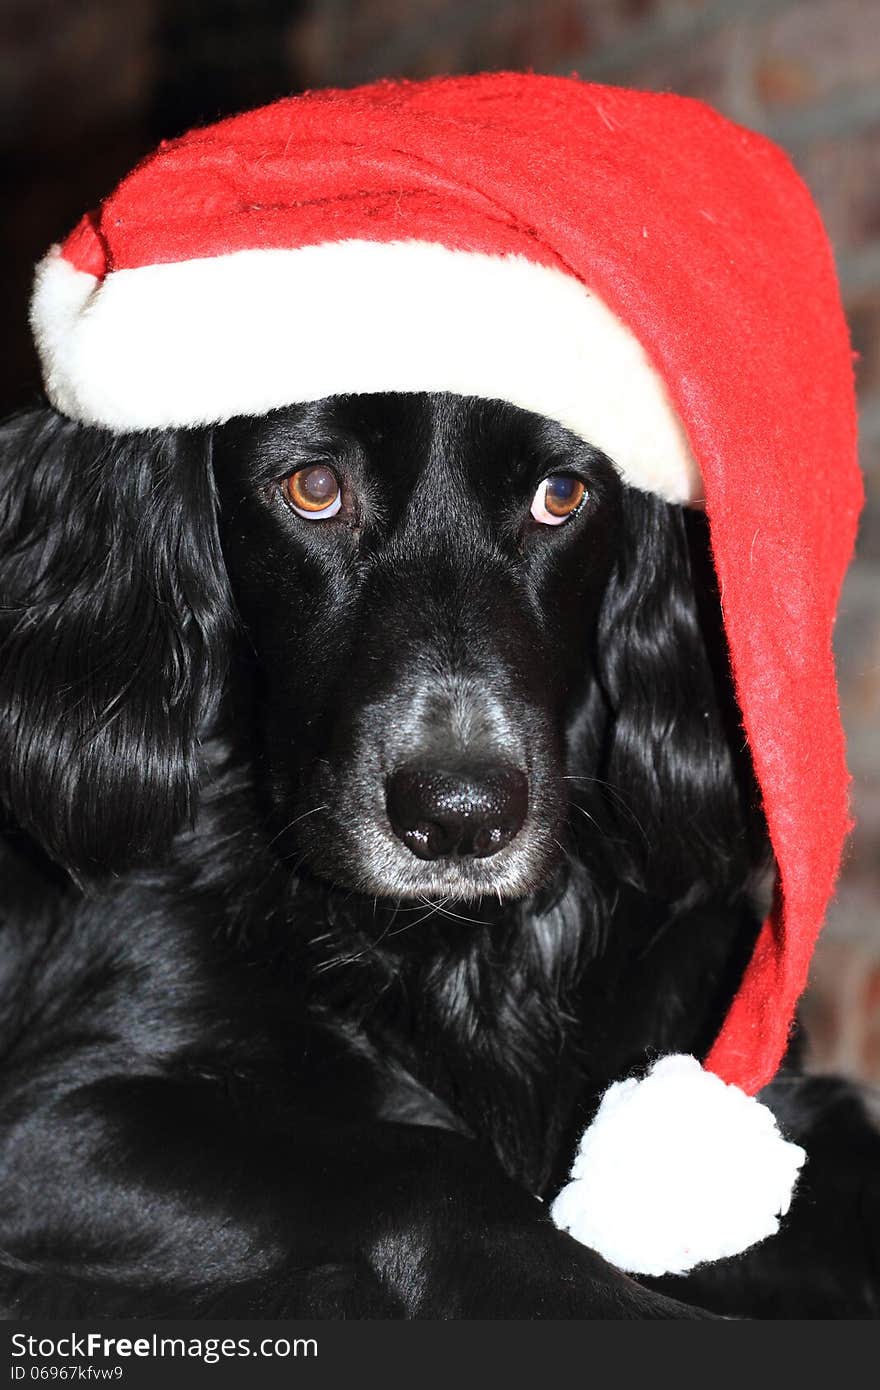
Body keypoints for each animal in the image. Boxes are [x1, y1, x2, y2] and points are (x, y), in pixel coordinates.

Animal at [0, 391, 873, 1312]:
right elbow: (424, 1161)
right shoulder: (58, 1116)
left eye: (561, 495)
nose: (459, 819)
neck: (470, 951)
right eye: (314, 487)